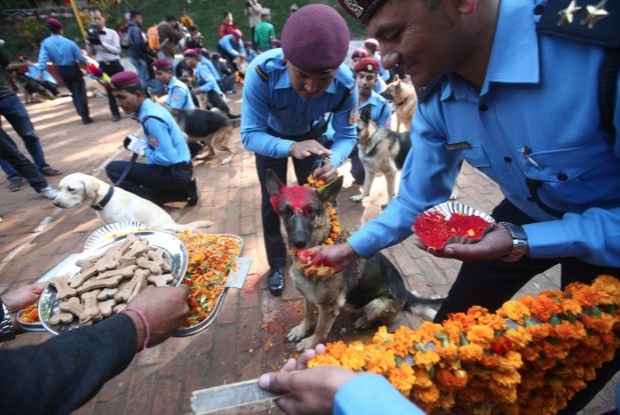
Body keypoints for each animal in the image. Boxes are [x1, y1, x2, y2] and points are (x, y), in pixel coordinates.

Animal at [264, 169, 444, 352]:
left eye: (310, 211)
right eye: (287, 212)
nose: (299, 243)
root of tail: (406, 293)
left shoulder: (328, 308)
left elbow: (320, 330)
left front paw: (311, 343)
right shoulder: (307, 296)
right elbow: (307, 315)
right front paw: (302, 330)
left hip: (376, 305)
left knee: (384, 319)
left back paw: (364, 321)